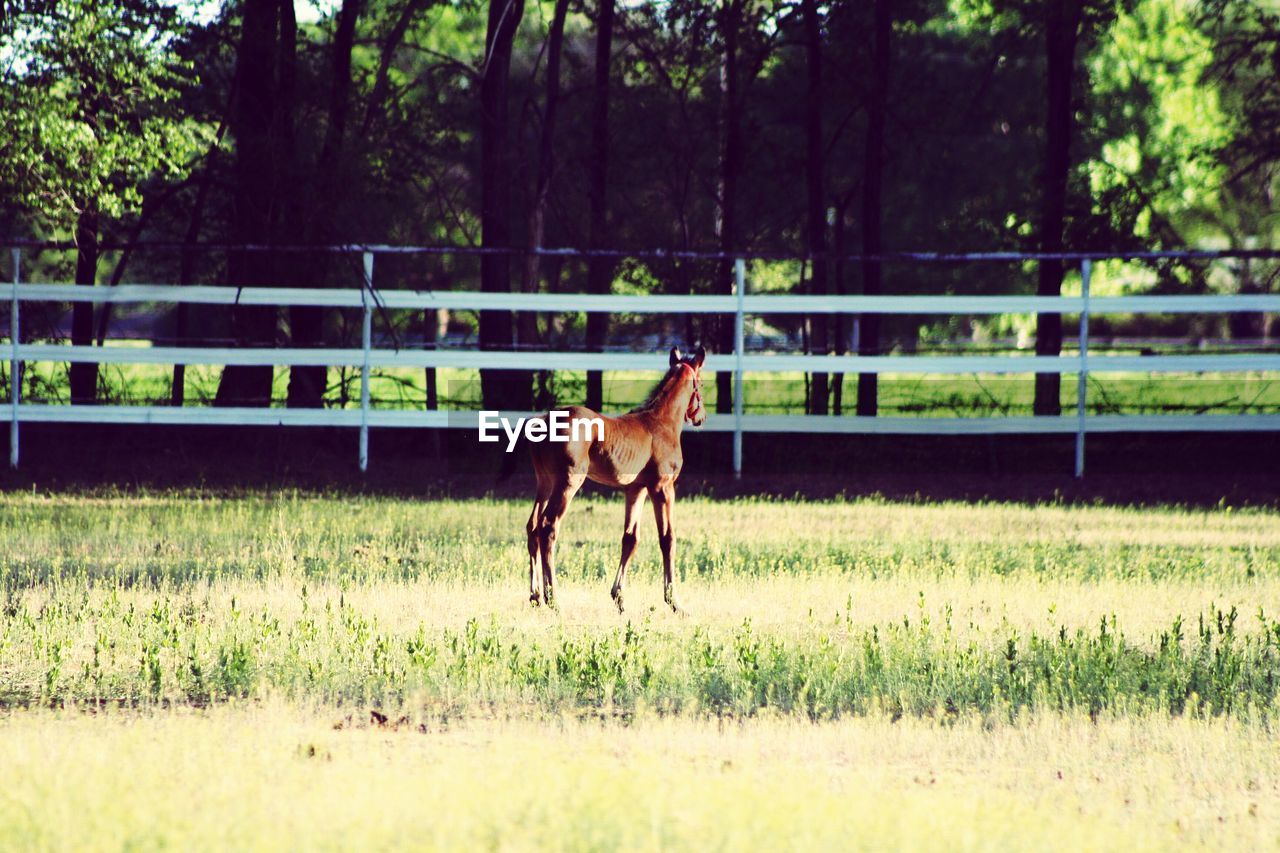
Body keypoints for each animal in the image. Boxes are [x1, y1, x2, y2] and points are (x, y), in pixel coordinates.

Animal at [522, 345, 711, 612]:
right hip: (569, 482)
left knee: (533, 526)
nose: (701, 417)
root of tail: (543, 421)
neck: (661, 422)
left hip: (545, 482)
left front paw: (619, 598)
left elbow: (630, 538)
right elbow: (668, 539)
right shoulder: (663, 488)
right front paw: (674, 602)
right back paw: (553, 599)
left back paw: (535, 595)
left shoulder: (636, 489)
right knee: (548, 526)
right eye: (701, 384)